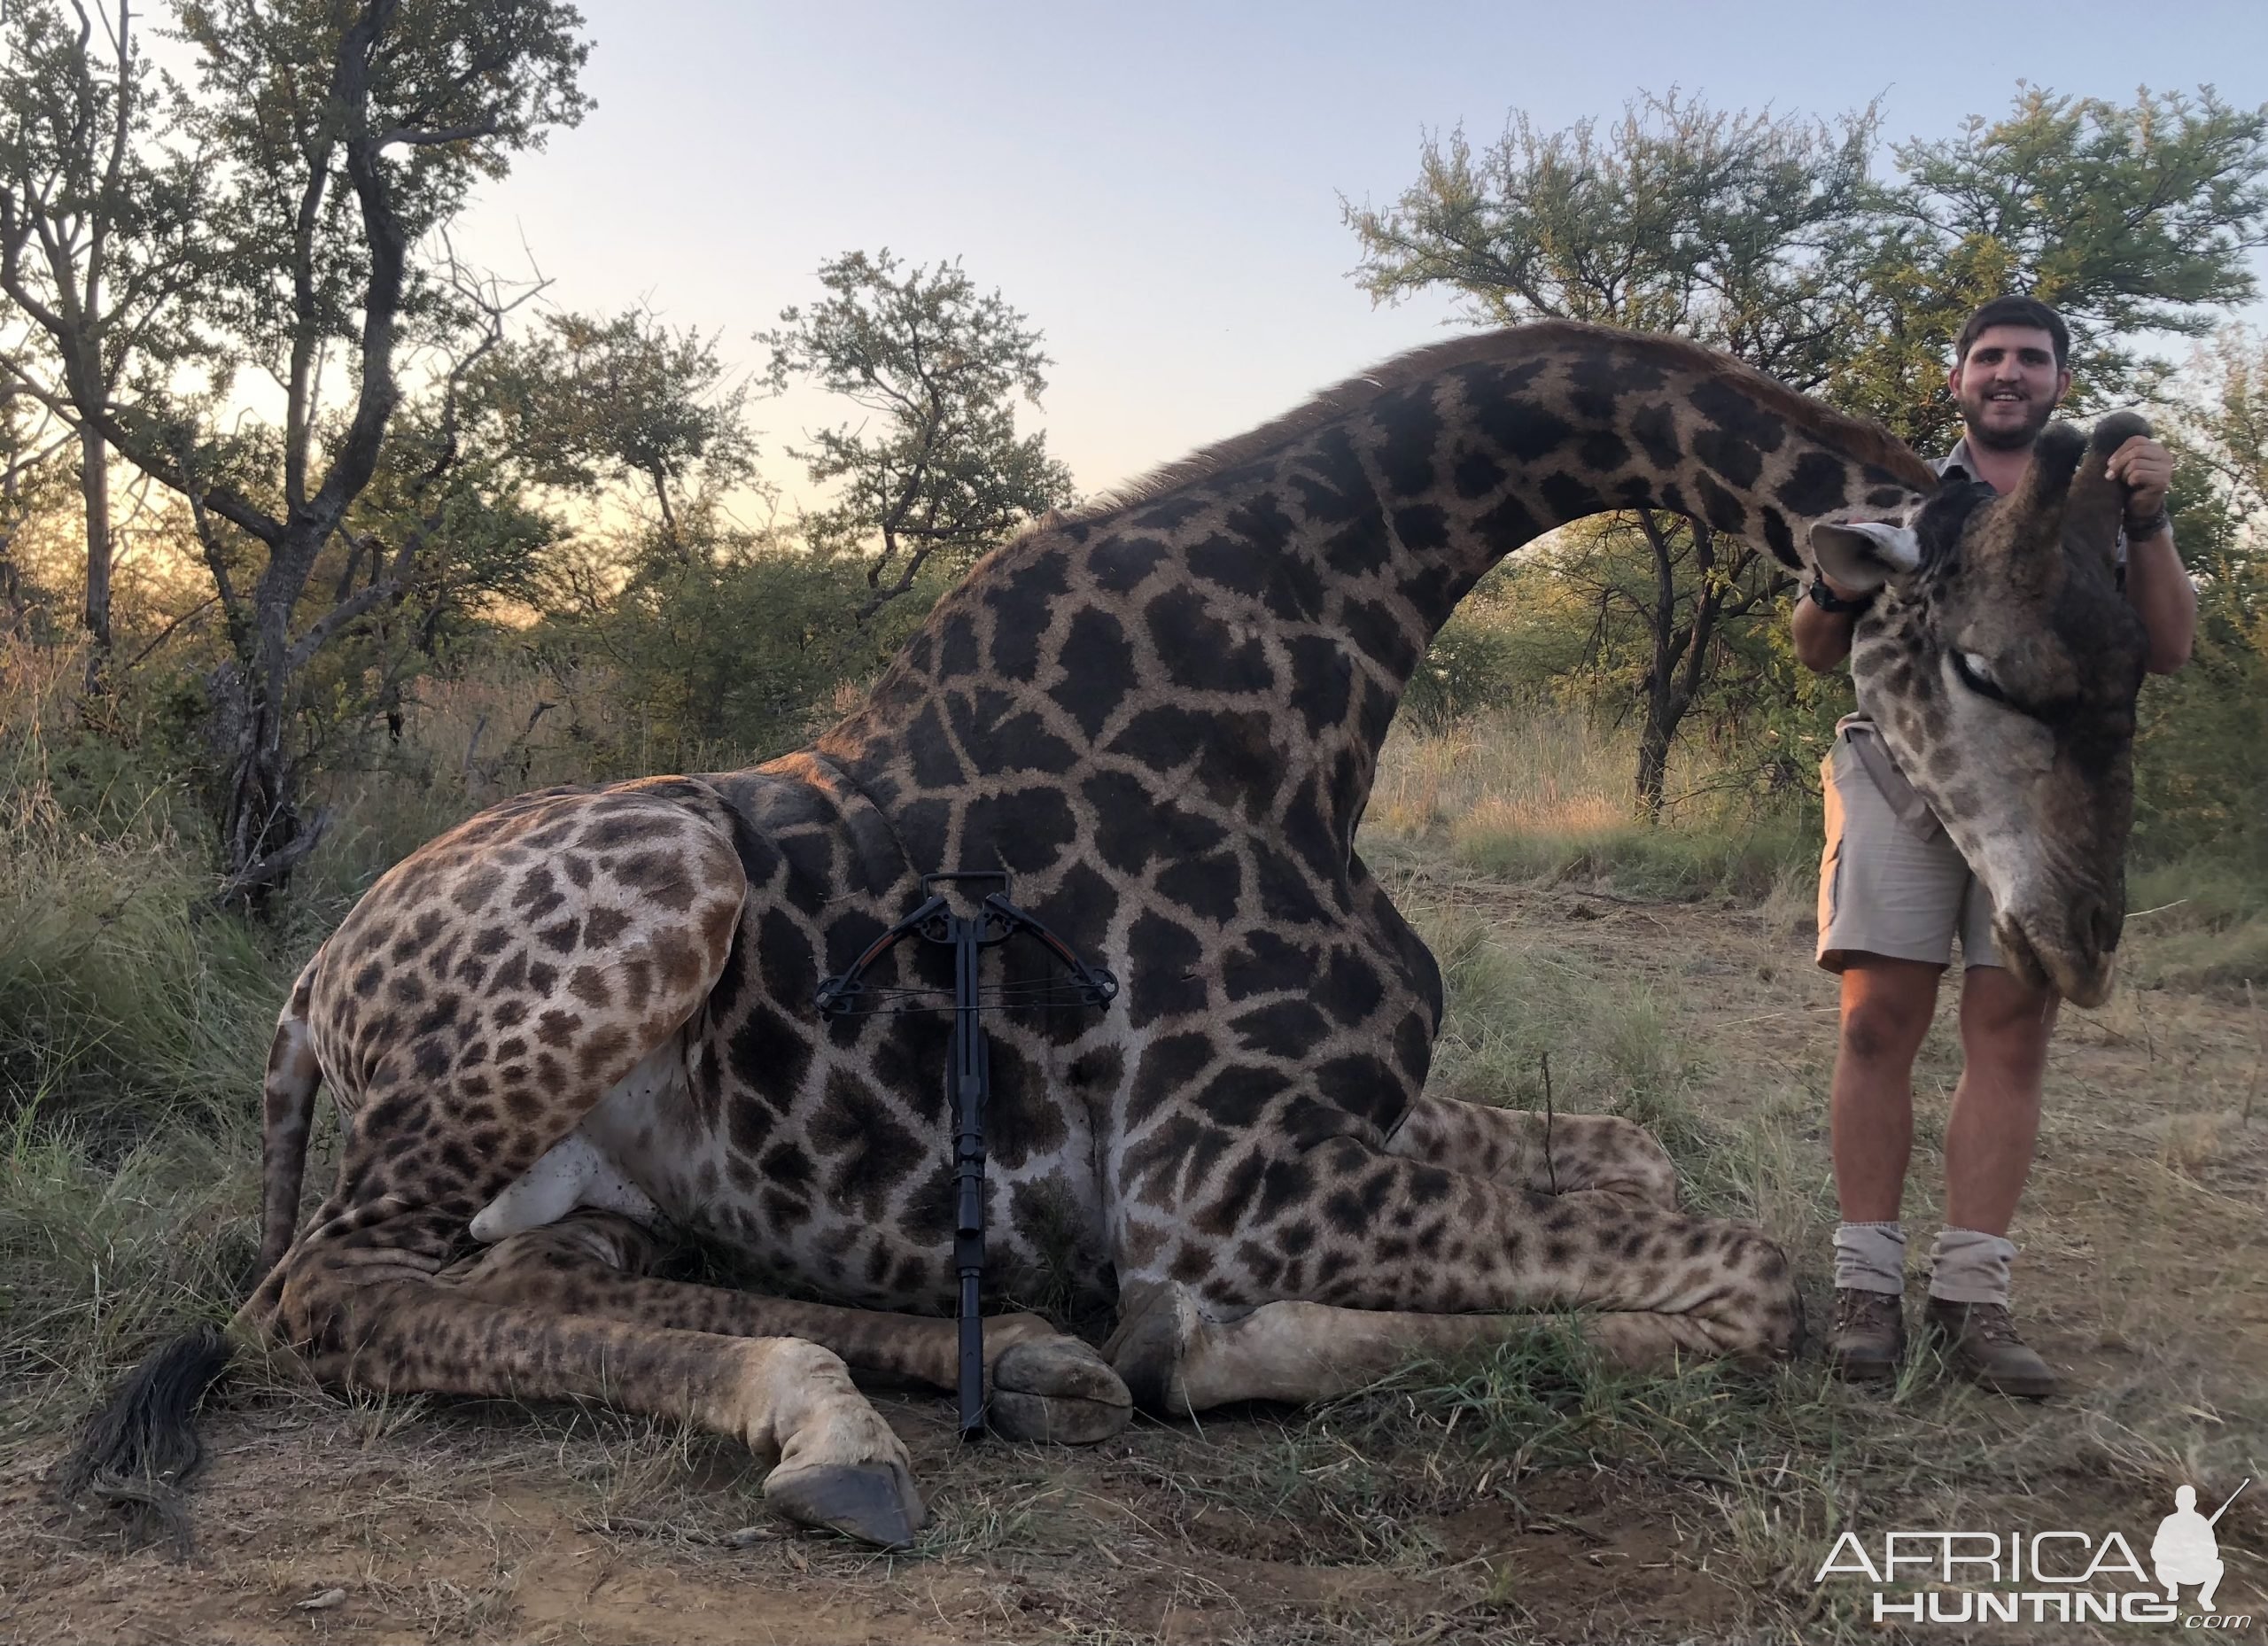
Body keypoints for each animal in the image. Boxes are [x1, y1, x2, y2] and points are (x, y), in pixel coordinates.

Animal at [57, 322, 2140, 1559]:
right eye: (1980, 661)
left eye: (2141, 660)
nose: (2079, 940)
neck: (1311, 704)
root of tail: (310, 986)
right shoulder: (1234, 1171)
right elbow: (1743, 1280)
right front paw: (1184, 1339)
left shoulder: (1362, 1121)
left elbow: (1647, 1172)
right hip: (656, 883)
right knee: (321, 1293)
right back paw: (877, 1405)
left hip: (594, 1179)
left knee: (523, 1274)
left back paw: (932, 1383)